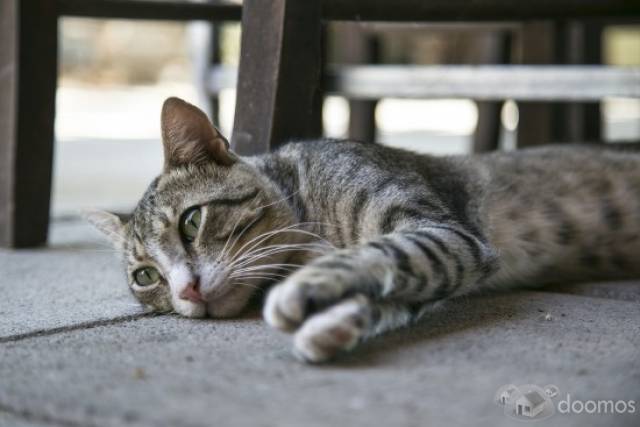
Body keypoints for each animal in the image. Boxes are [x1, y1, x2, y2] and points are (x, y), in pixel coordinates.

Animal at [87, 98, 640, 364]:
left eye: (192, 221)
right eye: (145, 277)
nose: (186, 290)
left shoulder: (445, 233)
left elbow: (385, 252)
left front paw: (306, 293)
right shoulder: (452, 261)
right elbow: (398, 290)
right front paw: (334, 325)